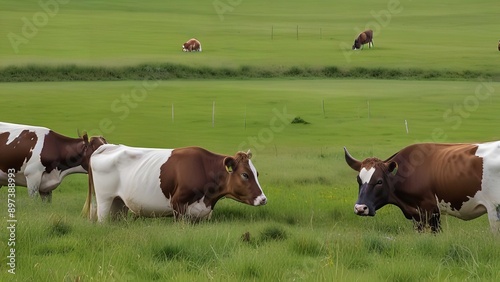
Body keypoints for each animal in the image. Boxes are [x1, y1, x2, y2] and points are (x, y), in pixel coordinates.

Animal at [84, 145, 268, 223]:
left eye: (257, 173)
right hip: (105, 200)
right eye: (245, 174)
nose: (263, 199)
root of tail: (108, 146)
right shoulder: (178, 204)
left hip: (119, 203)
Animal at [344, 142, 500, 235]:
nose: (360, 208)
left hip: (494, 210)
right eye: (359, 180)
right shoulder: (416, 215)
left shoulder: (431, 210)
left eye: (379, 181)